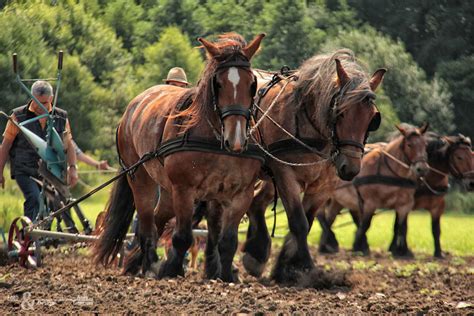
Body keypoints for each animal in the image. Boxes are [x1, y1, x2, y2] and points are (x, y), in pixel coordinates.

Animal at [92, 32, 266, 282]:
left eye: (252, 84)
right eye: (218, 84)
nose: (236, 139)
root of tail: (134, 105)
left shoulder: (241, 193)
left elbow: (228, 241)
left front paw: (226, 276)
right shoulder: (184, 189)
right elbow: (183, 236)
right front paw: (171, 269)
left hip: (167, 190)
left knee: (157, 219)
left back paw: (138, 262)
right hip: (140, 177)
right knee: (146, 224)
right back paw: (150, 265)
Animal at [241, 50, 386, 284]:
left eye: (372, 118)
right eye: (340, 112)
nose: (350, 168)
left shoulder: (324, 185)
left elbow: (307, 222)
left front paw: (285, 267)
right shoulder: (285, 174)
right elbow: (298, 222)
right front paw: (307, 268)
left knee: (256, 203)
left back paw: (256, 253)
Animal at [322, 123, 430, 256]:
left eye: (425, 144)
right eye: (410, 145)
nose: (422, 169)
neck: (391, 172)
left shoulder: (404, 205)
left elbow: (401, 226)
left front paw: (402, 252)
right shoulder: (370, 202)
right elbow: (365, 225)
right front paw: (358, 247)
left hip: (339, 201)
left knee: (329, 220)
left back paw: (324, 246)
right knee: (322, 218)